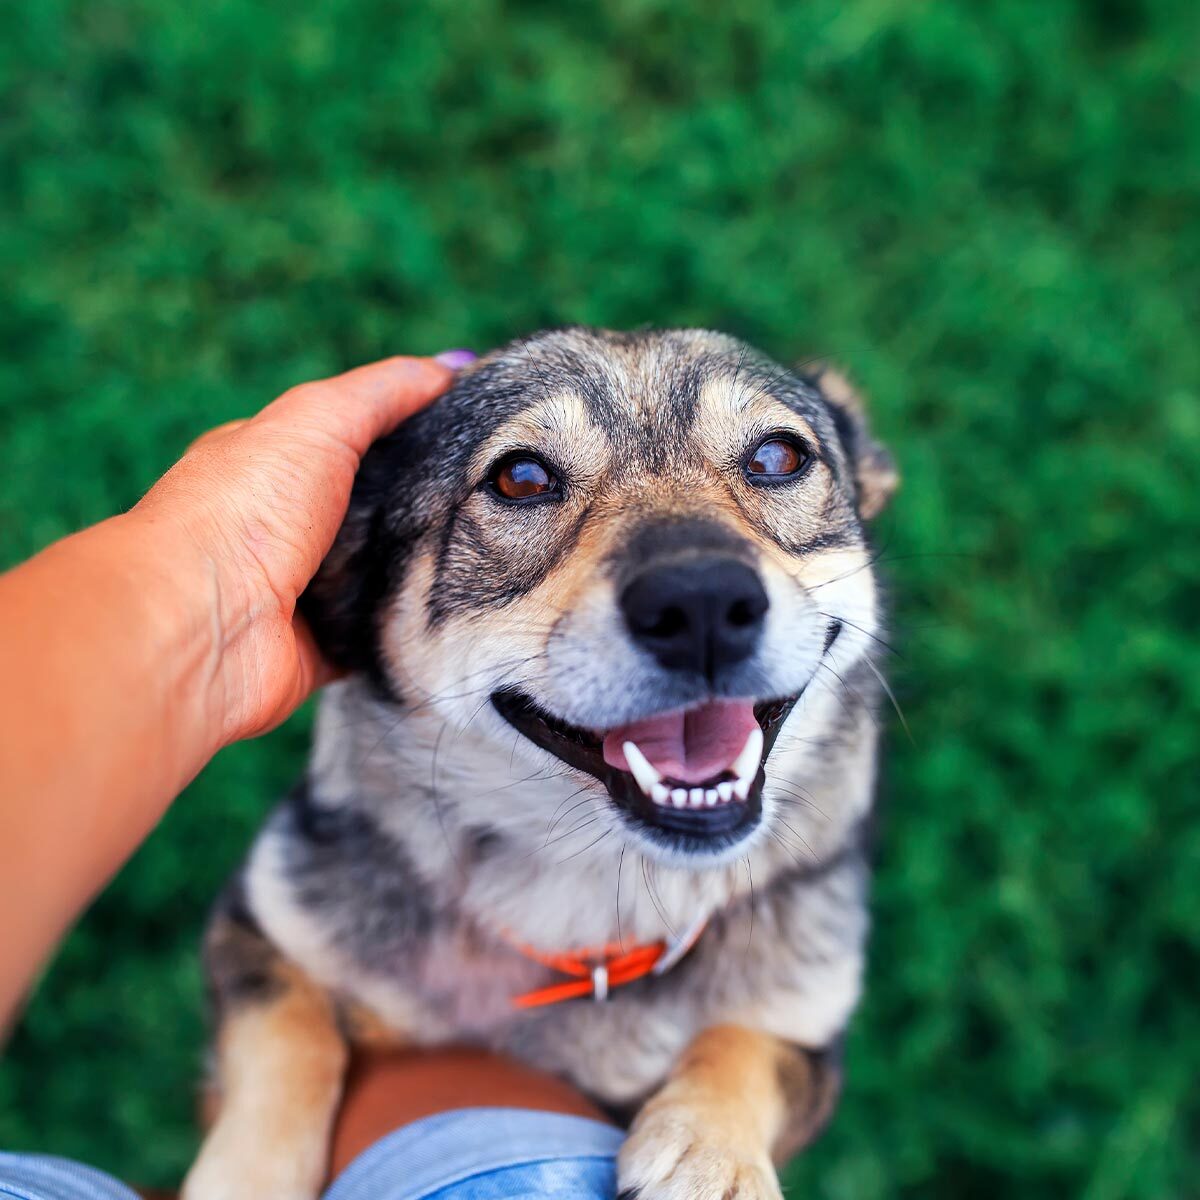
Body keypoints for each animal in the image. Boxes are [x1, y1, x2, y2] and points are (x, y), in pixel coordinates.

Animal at [182, 328, 897, 1200]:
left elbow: (744, 1043)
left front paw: (711, 1152)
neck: (588, 888)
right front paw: (248, 1171)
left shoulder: (811, 1036)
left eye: (777, 456)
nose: (700, 602)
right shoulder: (260, 924)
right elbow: (289, 1034)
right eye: (520, 478)